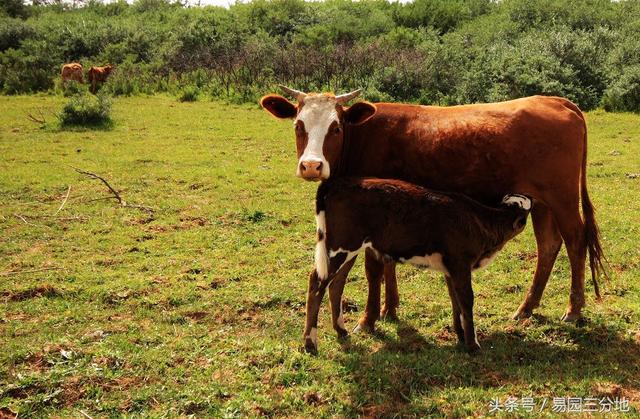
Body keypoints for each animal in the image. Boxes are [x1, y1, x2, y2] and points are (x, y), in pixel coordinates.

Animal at [260, 88, 604, 334]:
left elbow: (374, 269)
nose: (311, 165)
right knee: (548, 246)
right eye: (298, 125)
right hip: (542, 201)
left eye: (335, 127)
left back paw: (574, 310)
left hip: (561, 198)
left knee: (575, 242)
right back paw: (526, 308)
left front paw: (369, 319)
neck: (363, 136)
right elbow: (388, 263)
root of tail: (555, 101)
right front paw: (390, 309)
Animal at [302, 177, 532, 354]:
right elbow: (467, 301)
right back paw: (310, 343)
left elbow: (455, 301)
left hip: (348, 249)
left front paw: (459, 335)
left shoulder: (451, 269)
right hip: (340, 247)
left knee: (336, 284)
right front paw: (473, 345)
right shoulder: (461, 264)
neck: (479, 221)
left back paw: (340, 330)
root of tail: (338, 183)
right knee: (317, 283)